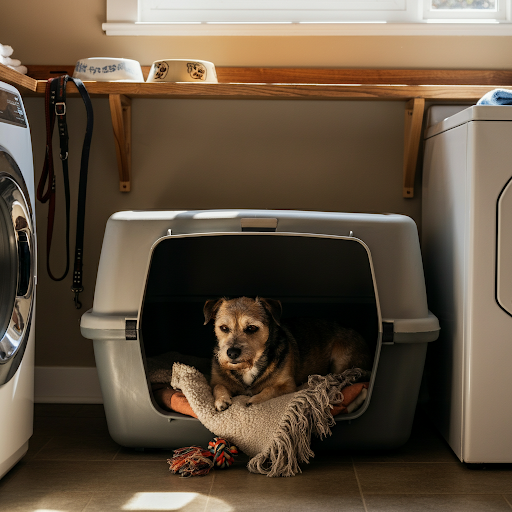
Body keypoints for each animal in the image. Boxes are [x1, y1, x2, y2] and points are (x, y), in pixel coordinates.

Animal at [204, 296, 372, 412]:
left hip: (341, 359)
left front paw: (254, 399)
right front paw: (221, 400)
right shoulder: (215, 380)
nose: (231, 353)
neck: (249, 366)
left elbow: (270, 389)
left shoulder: (287, 385)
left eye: (251, 328)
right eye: (223, 328)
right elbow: (218, 386)